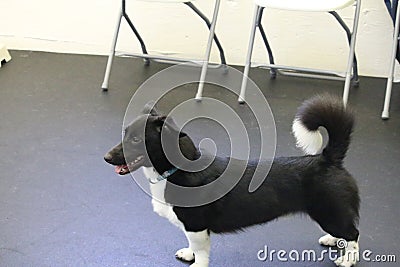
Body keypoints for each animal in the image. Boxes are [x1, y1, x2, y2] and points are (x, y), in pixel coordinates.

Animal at [103, 96, 360, 267]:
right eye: (125, 134)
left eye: (136, 140)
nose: (106, 158)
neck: (176, 170)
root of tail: (328, 158)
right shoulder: (191, 227)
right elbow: (192, 245)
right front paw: (188, 254)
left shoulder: (196, 225)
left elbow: (201, 250)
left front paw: (197, 263)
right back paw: (332, 240)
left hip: (328, 211)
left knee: (353, 233)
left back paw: (348, 259)